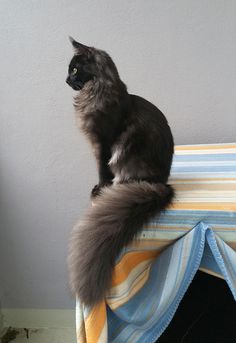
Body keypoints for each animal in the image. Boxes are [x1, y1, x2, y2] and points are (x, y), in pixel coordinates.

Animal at [66, 37, 173, 306]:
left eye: (75, 70)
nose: (66, 80)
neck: (96, 92)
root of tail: (162, 184)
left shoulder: (103, 143)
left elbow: (102, 170)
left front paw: (100, 190)